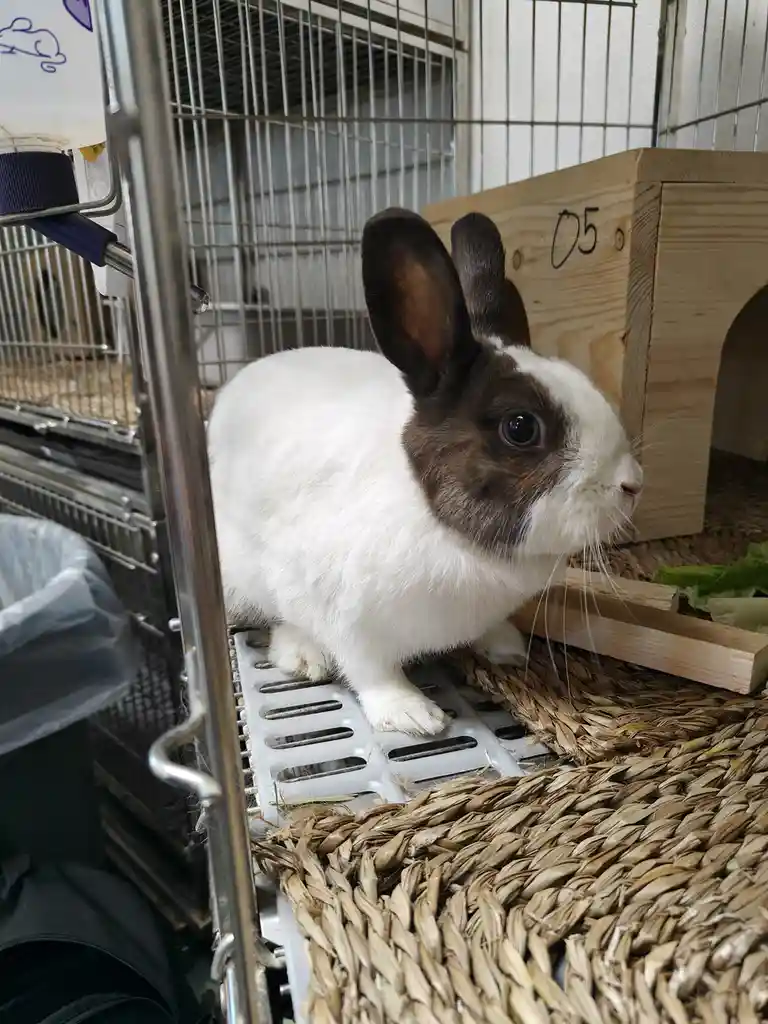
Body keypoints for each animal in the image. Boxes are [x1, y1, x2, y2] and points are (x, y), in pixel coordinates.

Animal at [207, 207, 642, 737]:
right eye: (521, 427)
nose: (632, 484)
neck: (455, 537)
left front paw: (506, 647)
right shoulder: (346, 618)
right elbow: (370, 670)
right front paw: (413, 714)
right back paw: (304, 655)